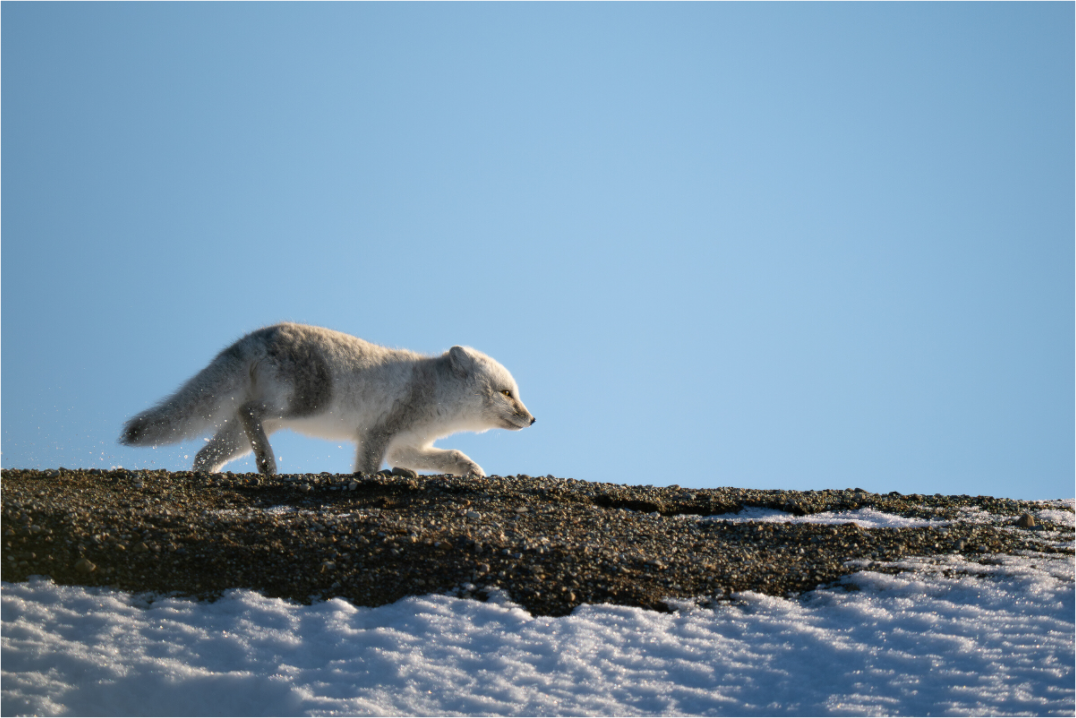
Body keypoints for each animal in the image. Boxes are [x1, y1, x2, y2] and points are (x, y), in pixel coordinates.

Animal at [120, 323, 535, 477]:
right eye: (507, 393)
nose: (532, 420)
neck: (433, 390)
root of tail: (256, 336)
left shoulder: (406, 445)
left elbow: (451, 455)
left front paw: (471, 471)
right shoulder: (379, 434)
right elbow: (367, 467)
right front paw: (374, 478)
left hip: (247, 432)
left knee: (204, 454)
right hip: (299, 406)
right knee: (246, 410)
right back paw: (267, 462)